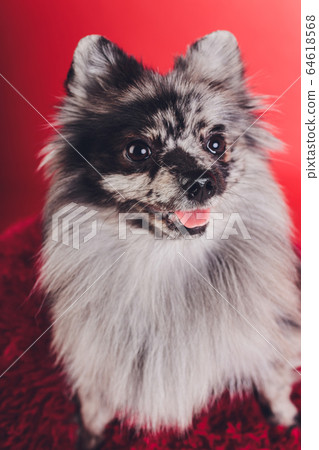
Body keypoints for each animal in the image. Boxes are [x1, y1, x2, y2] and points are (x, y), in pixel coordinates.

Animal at [38, 30, 302, 446]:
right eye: (138, 151)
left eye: (215, 144)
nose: (203, 181)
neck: (164, 258)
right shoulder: (98, 361)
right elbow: (95, 404)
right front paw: (90, 436)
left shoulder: (271, 335)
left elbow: (274, 380)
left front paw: (285, 419)